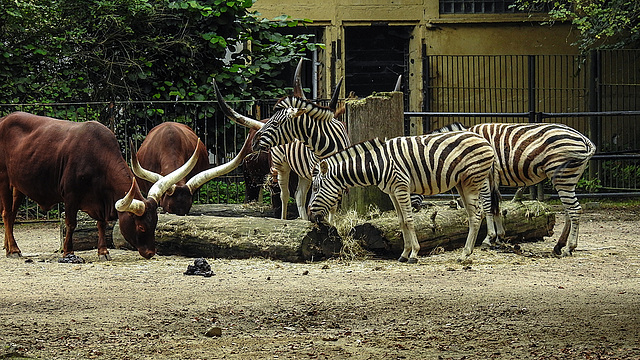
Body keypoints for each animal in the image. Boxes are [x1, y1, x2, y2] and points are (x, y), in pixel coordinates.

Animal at [0, 112, 200, 258]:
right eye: (141, 227)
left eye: (156, 223)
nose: (151, 253)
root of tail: (4, 119)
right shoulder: (71, 195)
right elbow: (71, 223)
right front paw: (68, 252)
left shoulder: (100, 200)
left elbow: (101, 224)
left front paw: (103, 251)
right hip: (3, 179)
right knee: (7, 213)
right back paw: (13, 250)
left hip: (18, 186)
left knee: (11, 214)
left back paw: (9, 247)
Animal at [308, 132, 498, 264]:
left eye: (316, 188)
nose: (310, 216)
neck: (377, 164)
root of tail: (485, 140)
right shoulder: (392, 192)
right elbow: (400, 221)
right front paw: (404, 254)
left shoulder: (401, 187)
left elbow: (409, 220)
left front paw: (414, 254)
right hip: (462, 183)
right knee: (475, 214)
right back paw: (469, 251)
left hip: (472, 181)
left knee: (476, 216)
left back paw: (464, 254)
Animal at [432, 122, 596, 258]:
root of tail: (584, 139)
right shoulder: (493, 179)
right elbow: (496, 206)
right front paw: (499, 236)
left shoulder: (485, 177)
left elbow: (487, 205)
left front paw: (489, 238)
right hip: (568, 179)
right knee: (569, 210)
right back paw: (559, 245)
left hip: (563, 176)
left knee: (574, 210)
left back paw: (569, 248)